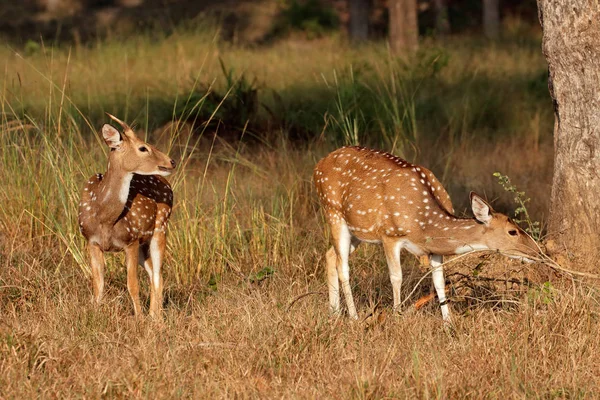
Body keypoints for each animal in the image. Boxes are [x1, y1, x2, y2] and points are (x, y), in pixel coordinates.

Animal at [78, 114, 176, 318]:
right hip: (143, 244)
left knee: (157, 275)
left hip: (160, 228)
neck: (105, 218)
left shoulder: (130, 240)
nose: (172, 161)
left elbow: (132, 285)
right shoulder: (91, 241)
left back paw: (155, 318)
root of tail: (167, 184)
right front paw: (94, 314)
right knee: (155, 274)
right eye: (143, 147)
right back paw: (154, 316)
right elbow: (98, 284)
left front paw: (138, 318)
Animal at [314, 145, 540, 324]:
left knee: (330, 255)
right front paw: (397, 318)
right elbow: (396, 277)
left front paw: (448, 323)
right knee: (343, 267)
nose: (537, 252)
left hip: (357, 232)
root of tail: (319, 165)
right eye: (512, 231)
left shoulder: (434, 249)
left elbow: (439, 281)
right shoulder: (390, 235)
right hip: (333, 212)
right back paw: (353, 317)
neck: (424, 225)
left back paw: (334, 313)